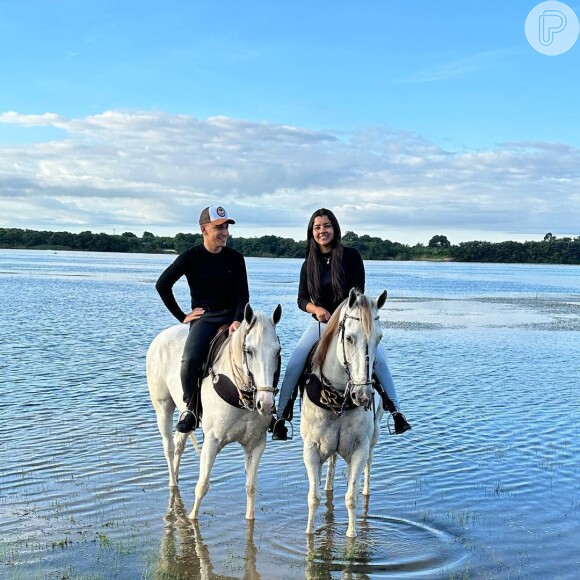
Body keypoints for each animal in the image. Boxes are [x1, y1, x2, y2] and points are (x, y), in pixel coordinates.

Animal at [145, 304, 280, 520]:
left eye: (277, 352)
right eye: (249, 351)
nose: (265, 404)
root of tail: (161, 336)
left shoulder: (256, 444)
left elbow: (251, 487)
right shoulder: (212, 441)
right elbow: (202, 486)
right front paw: (192, 520)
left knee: (179, 444)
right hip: (163, 407)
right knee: (169, 447)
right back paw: (173, 484)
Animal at [302, 288, 388, 540]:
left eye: (379, 338)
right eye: (349, 338)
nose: (363, 395)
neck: (338, 395)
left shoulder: (359, 448)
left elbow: (351, 497)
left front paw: (351, 536)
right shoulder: (311, 449)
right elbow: (314, 497)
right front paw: (310, 534)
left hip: (374, 437)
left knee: (368, 466)